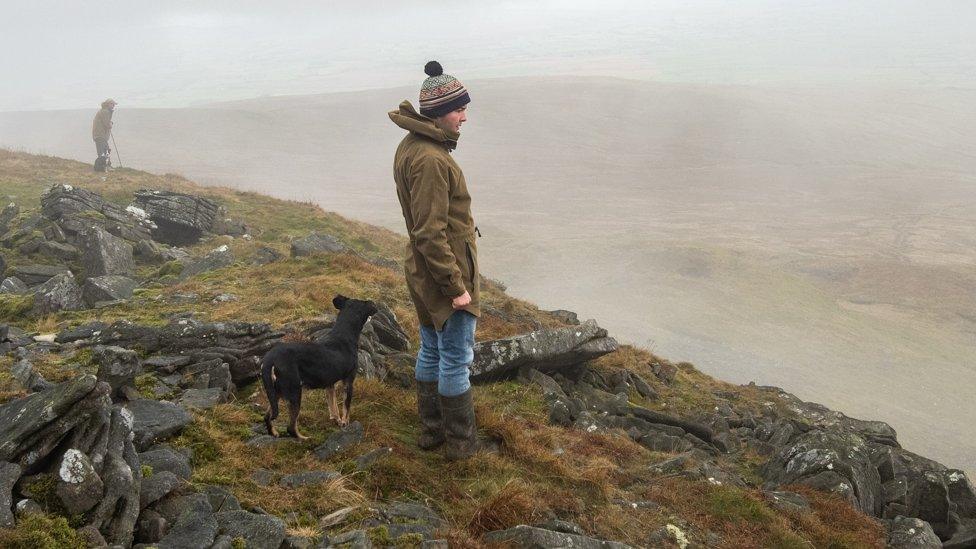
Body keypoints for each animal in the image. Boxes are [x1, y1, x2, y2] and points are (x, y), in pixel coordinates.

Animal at [260, 294, 378, 438]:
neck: (344, 334)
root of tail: (269, 358)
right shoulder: (348, 381)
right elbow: (346, 407)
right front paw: (345, 423)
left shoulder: (330, 384)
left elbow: (333, 406)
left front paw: (338, 421)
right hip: (294, 391)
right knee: (291, 427)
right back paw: (304, 438)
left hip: (276, 390)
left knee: (267, 416)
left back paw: (274, 433)